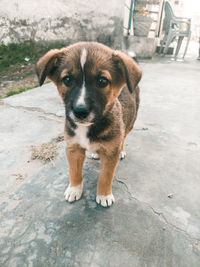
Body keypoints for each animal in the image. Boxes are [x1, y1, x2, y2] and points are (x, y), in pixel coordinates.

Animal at [36, 43, 142, 208]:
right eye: (67, 79)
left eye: (102, 81)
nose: (80, 111)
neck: (87, 127)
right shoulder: (73, 148)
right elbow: (74, 172)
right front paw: (74, 189)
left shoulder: (110, 154)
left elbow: (105, 176)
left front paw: (104, 195)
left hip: (131, 121)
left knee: (124, 136)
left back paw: (122, 150)